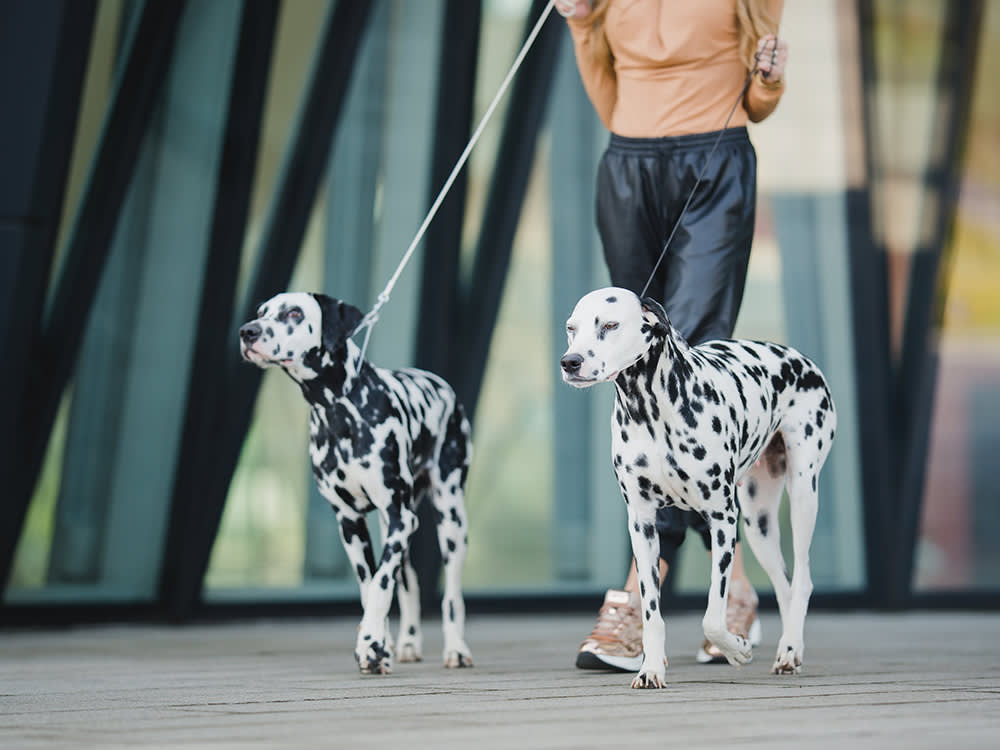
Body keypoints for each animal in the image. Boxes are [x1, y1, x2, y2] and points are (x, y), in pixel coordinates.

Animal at [243, 292, 476, 676]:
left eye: (294, 313)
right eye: (261, 311)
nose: (248, 331)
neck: (339, 411)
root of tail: (441, 385)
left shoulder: (400, 518)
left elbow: (381, 585)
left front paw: (369, 645)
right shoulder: (351, 524)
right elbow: (371, 587)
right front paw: (377, 645)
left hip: (450, 520)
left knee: (452, 595)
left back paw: (456, 648)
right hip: (396, 528)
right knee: (409, 581)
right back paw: (408, 642)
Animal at [564, 290, 836, 692]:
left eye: (610, 325)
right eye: (572, 328)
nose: (570, 362)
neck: (652, 412)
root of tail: (796, 356)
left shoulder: (721, 520)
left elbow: (712, 617)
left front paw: (735, 649)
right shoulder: (643, 526)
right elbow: (652, 612)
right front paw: (651, 668)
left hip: (802, 494)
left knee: (801, 581)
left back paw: (788, 651)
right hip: (759, 524)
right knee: (785, 588)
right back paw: (791, 645)